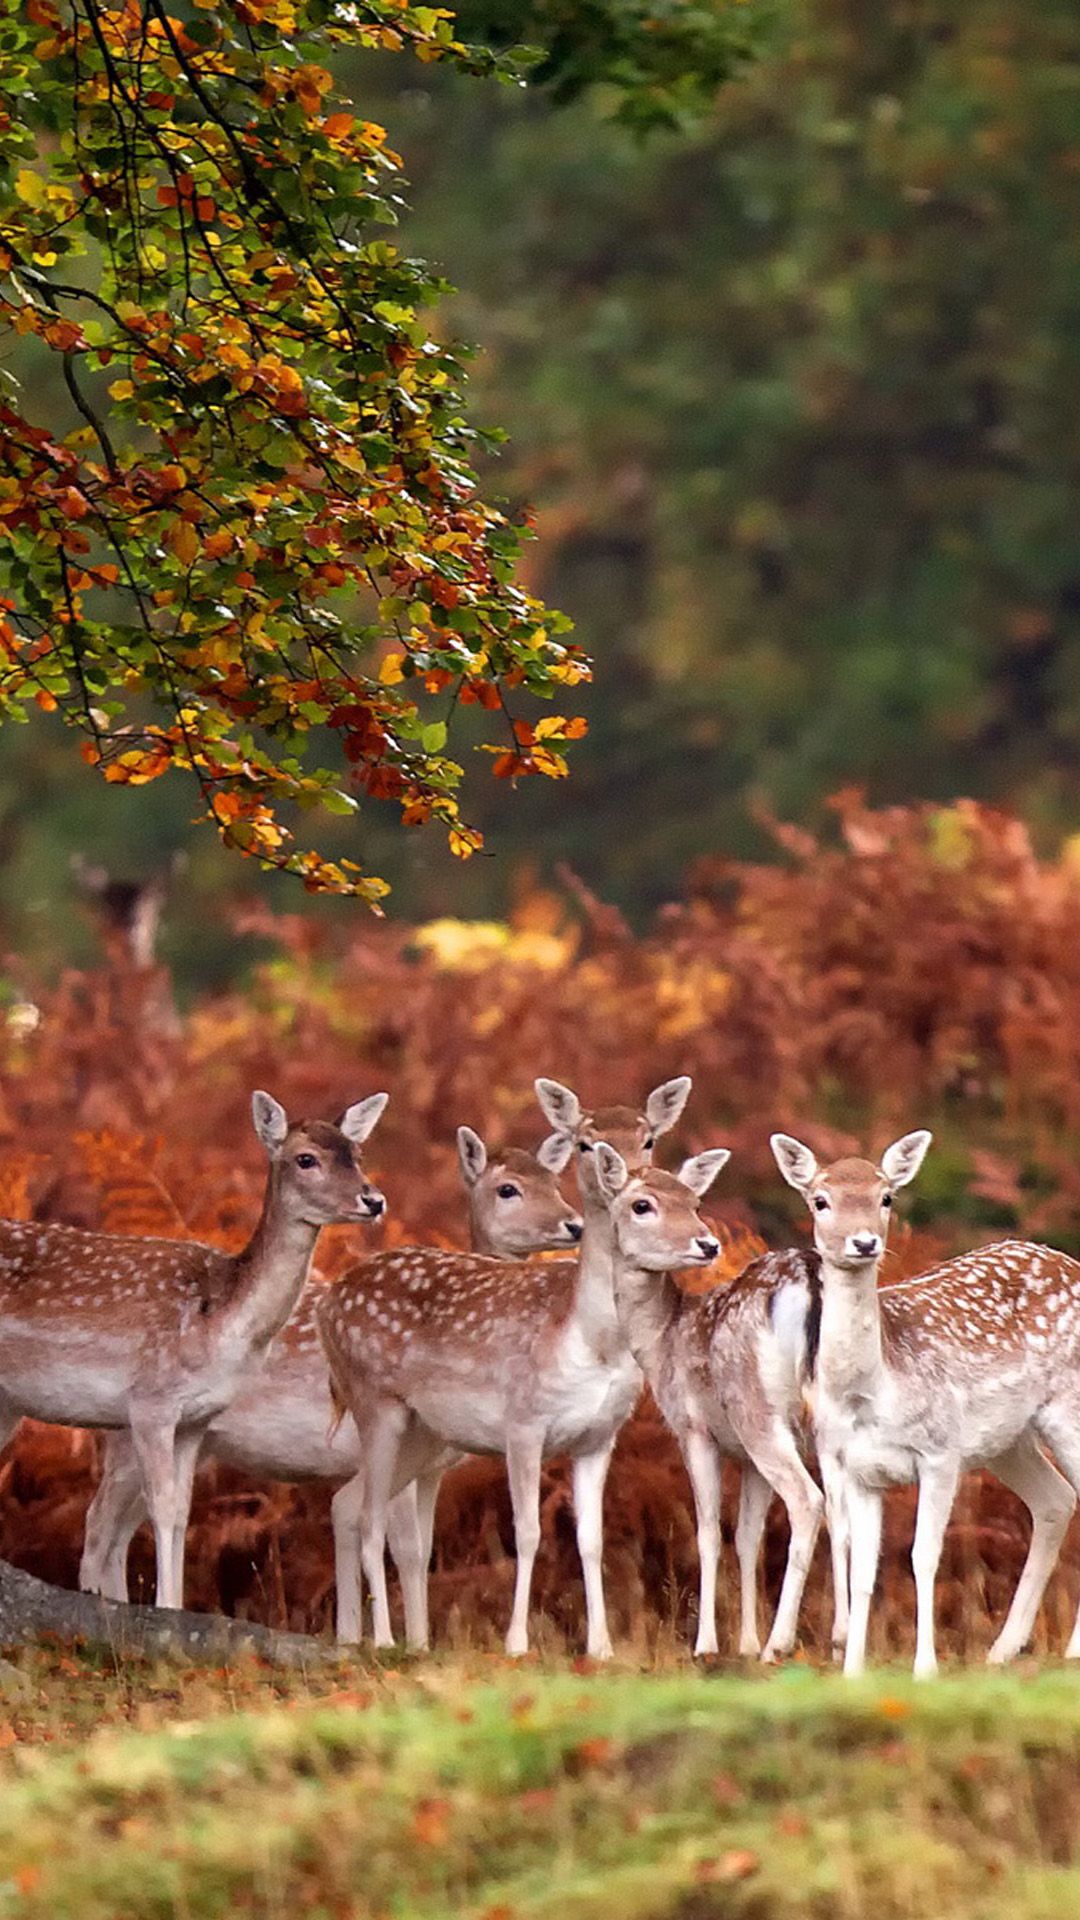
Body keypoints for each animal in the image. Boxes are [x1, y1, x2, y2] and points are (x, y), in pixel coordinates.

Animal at [0, 1089, 388, 1610]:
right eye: (306, 1159)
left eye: (357, 1154)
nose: (374, 1199)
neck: (221, 1324)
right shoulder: (150, 1400)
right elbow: (163, 1506)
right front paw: (166, 1607)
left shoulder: (196, 1418)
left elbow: (183, 1510)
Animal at [79, 1122, 582, 1643]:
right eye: (508, 1189)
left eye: (555, 1182)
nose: (574, 1225)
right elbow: (403, 1546)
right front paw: (405, 1643)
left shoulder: (430, 1467)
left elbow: (414, 1546)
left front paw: (375, 1637)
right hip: (131, 1431)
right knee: (99, 1524)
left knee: (121, 1528)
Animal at [316, 1075, 693, 1658]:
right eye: (586, 1142)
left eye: (648, 1138)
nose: (626, 1179)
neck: (592, 1341)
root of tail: (330, 1301)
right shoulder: (523, 1422)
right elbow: (528, 1532)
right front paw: (516, 1643)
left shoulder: (599, 1435)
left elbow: (591, 1538)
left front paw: (601, 1648)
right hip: (375, 1403)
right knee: (370, 1515)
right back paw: (382, 1640)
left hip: (424, 1434)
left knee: (351, 1504)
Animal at [771, 1129, 1080, 1678]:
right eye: (820, 1199)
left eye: (886, 1197)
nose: (864, 1242)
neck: (872, 1394)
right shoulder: (857, 1469)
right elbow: (862, 1566)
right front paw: (853, 1671)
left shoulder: (939, 1452)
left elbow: (923, 1555)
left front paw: (925, 1668)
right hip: (1007, 1440)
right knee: (1056, 1500)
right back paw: (1003, 1649)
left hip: (1066, 1406)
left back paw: (1070, 1649)